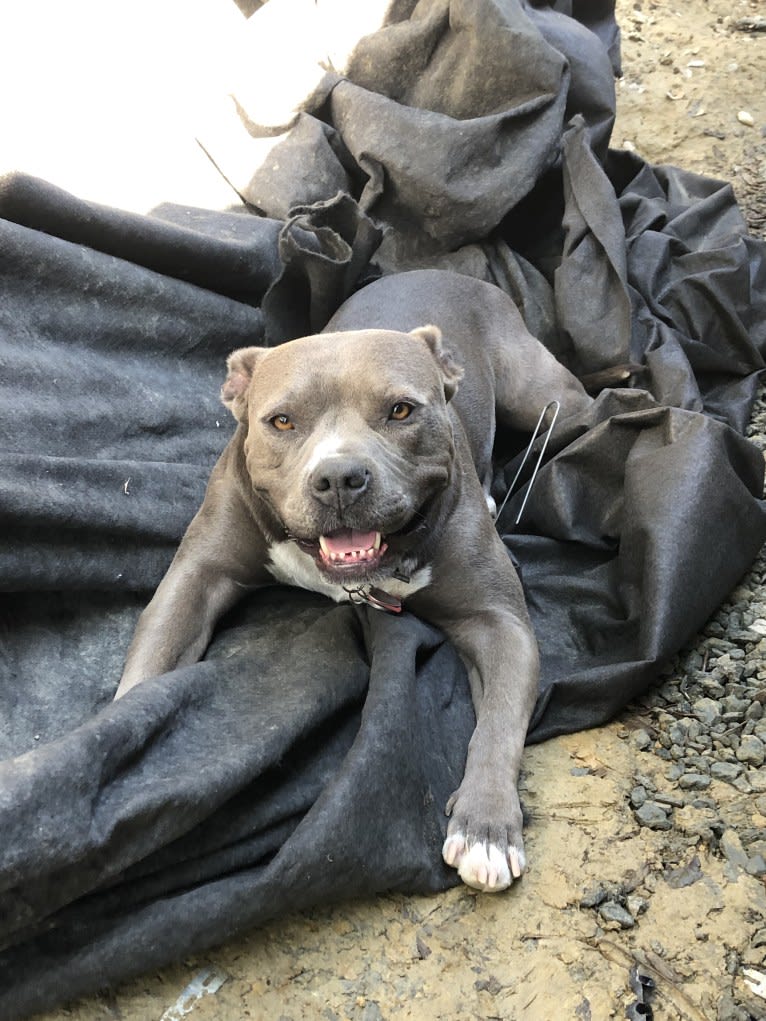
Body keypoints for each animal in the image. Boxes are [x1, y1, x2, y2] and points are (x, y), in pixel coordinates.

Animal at [116, 267, 592, 890]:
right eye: (282, 420)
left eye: (401, 411)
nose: (339, 476)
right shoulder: (197, 577)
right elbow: (146, 674)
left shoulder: (498, 622)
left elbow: (498, 725)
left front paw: (486, 827)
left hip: (535, 390)